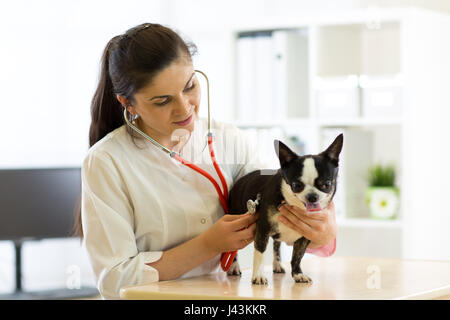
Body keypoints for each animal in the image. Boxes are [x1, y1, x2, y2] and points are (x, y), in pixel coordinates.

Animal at [227, 134, 342, 284]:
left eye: (326, 184)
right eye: (296, 185)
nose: (312, 196)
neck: (290, 203)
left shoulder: (305, 236)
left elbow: (297, 256)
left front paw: (298, 274)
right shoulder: (262, 229)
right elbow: (260, 252)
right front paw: (258, 275)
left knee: (276, 246)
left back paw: (277, 265)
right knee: (232, 250)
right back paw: (234, 267)